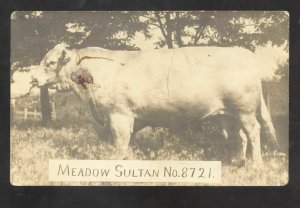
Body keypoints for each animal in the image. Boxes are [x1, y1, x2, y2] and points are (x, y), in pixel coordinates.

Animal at [36, 44, 278, 164]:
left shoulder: (118, 115)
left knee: (253, 131)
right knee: (240, 136)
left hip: (244, 110)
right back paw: (238, 162)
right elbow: (127, 143)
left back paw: (256, 163)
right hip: (226, 115)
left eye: (50, 62)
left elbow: (119, 142)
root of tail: (243, 52)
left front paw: (114, 163)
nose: (34, 79)